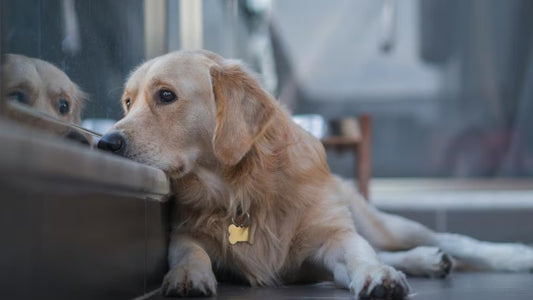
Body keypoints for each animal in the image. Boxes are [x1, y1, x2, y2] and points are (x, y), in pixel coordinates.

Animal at [96, 50, 532, 298]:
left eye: (166, 96)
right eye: (128, 102)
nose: (106, 143)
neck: (241, 190)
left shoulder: (330, 236)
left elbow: (358, 253)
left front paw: (377, 276)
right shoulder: (186, 232)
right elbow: (189, 252)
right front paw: (187, 277)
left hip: (379, 223)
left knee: (446, 239)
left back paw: (509, 255)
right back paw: (426, 261)